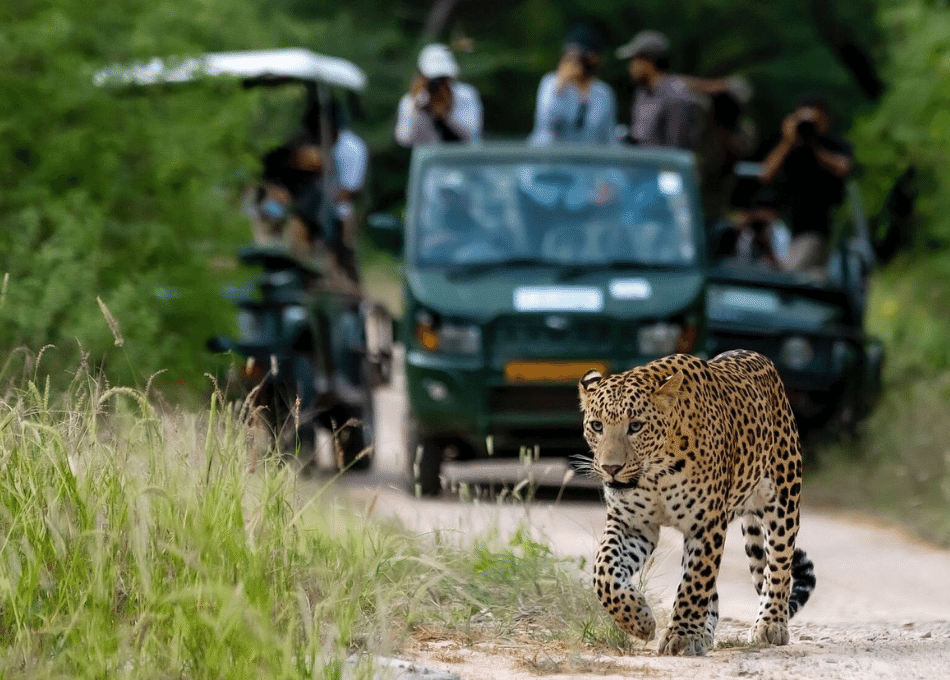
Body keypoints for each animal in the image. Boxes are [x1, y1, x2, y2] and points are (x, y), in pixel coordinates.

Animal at [580, 348, 820, 656]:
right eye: (597, 426)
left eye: (635, 426)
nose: (610, 468)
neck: (655, 473)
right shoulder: (632, 524)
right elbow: (604, 572)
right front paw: (639, 620)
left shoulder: (706, 523)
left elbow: (695, 582)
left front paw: (681, 636)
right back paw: (704, 633)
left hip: (783, 500)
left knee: (778, 565)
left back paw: (771, 624)